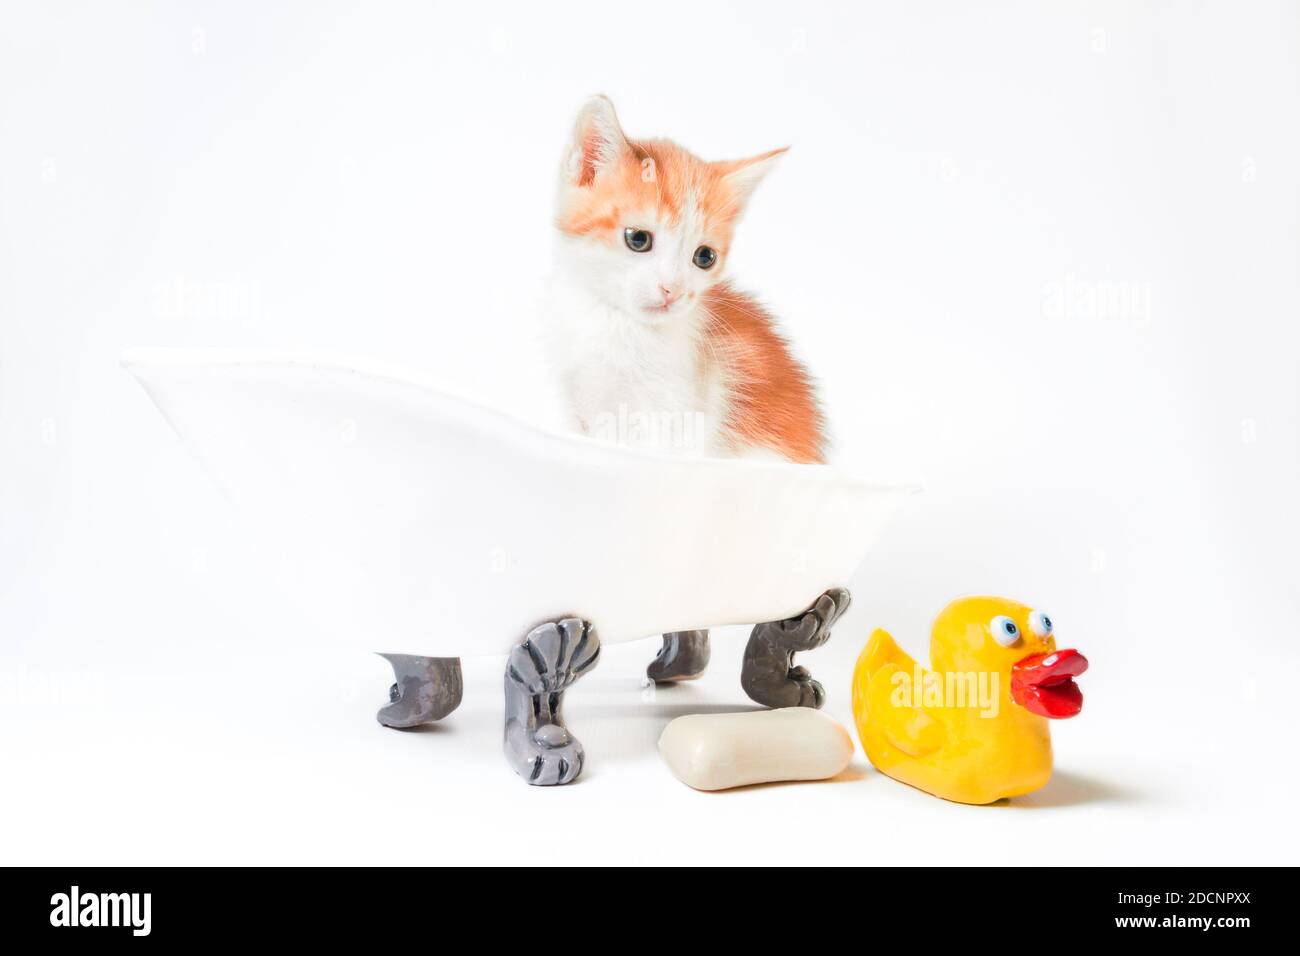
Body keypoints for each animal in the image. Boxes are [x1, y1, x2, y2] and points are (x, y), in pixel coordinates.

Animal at [543, 96, 826, 463]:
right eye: (638, 239)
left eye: (704, 257)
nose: (673, 290)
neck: (617, 324)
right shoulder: (574, 398)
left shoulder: (674, 419)